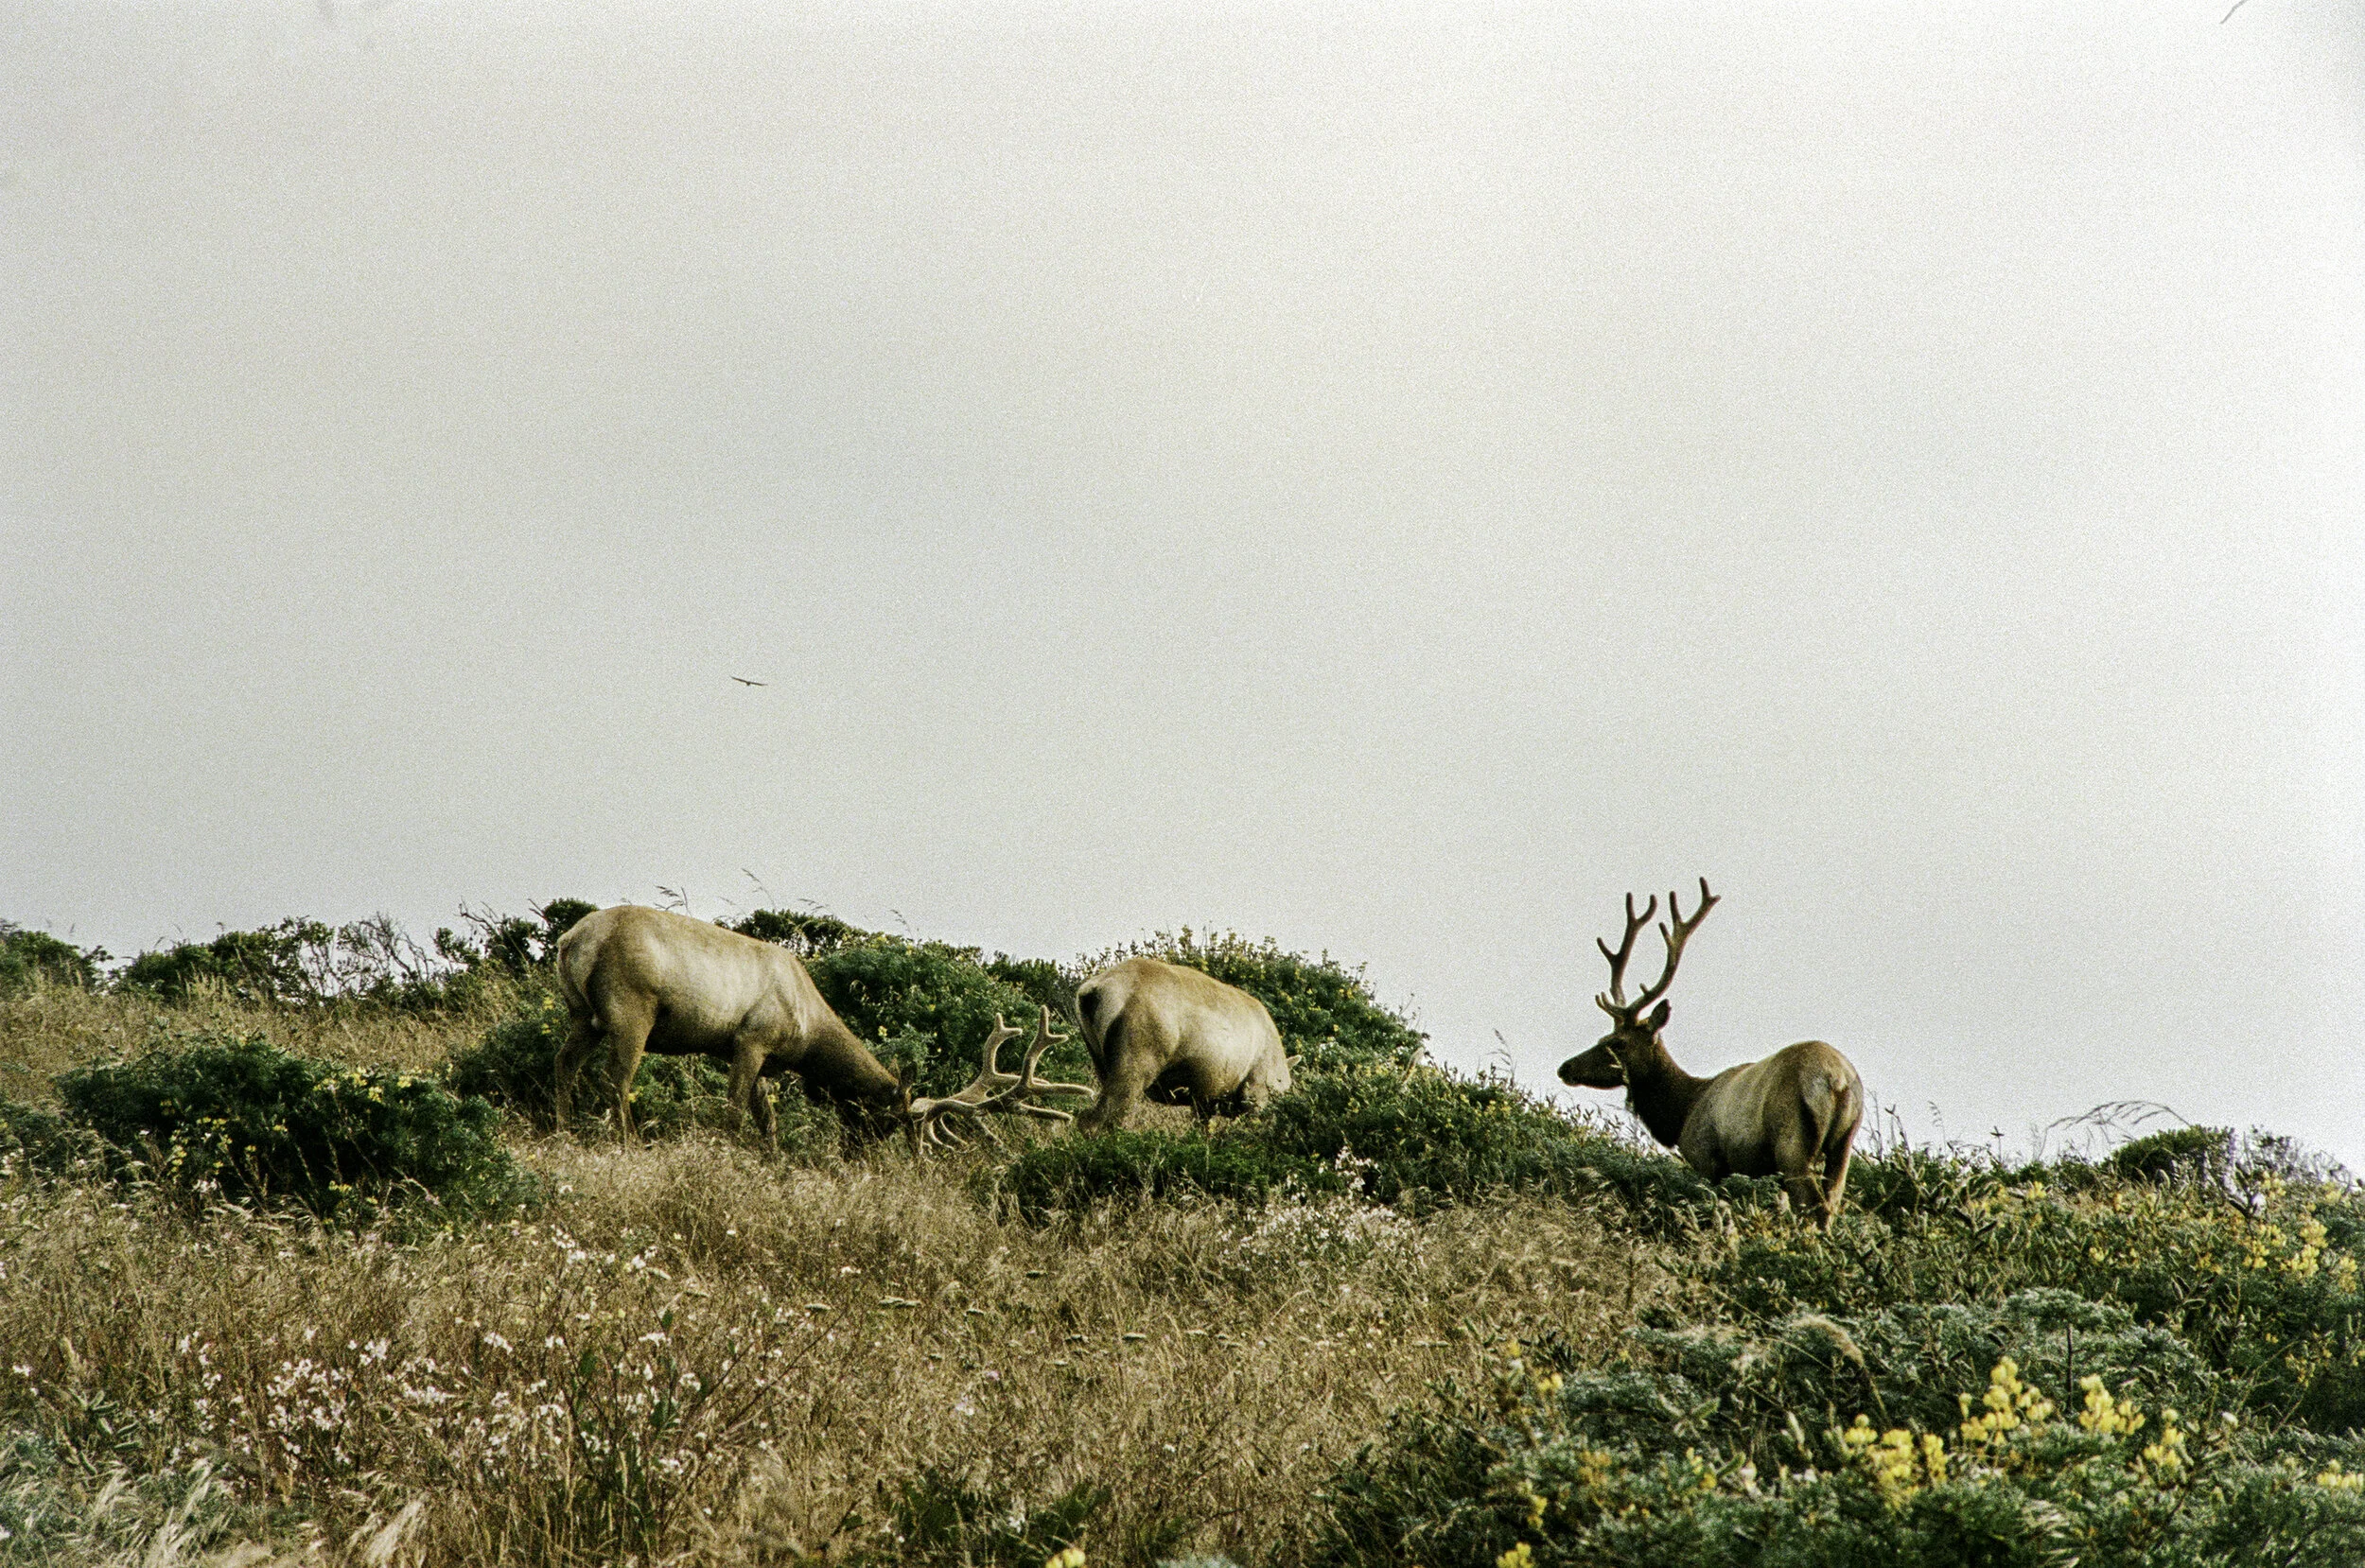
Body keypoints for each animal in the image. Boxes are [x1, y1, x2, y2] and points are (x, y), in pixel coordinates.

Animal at [552, 905, 1089, 1146]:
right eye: (889, 1120)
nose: (868, 1154)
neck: (807, 1033)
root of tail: (573, 940)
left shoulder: (769, 1062)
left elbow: (767, 1121)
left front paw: (770, 1159)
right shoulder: (751, 1039)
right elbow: (733, 1110)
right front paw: (729, 1151)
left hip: (583, 1015)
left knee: (564, 1063)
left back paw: (561, 1131)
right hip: (632, 1008)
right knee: (616, 1079)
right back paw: (628, 1142)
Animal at [1072, 956, 1293, 1133]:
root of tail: (1089, 992)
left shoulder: (1205, 1099)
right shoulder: (1256, 1091)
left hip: (1100, 1061)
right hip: (1136, 1058)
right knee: (1094, 1119)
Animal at [1557, 881, 1863, 1228]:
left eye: (1618, 1042)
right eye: (1602, 1036)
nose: (1565, 1067)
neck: (1682, 1112)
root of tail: (1838, 1081)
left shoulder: (1705, 1159)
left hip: (1792, 1145)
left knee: (1815, 1207)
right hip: (1844, 1144)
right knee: (1831, 1203)